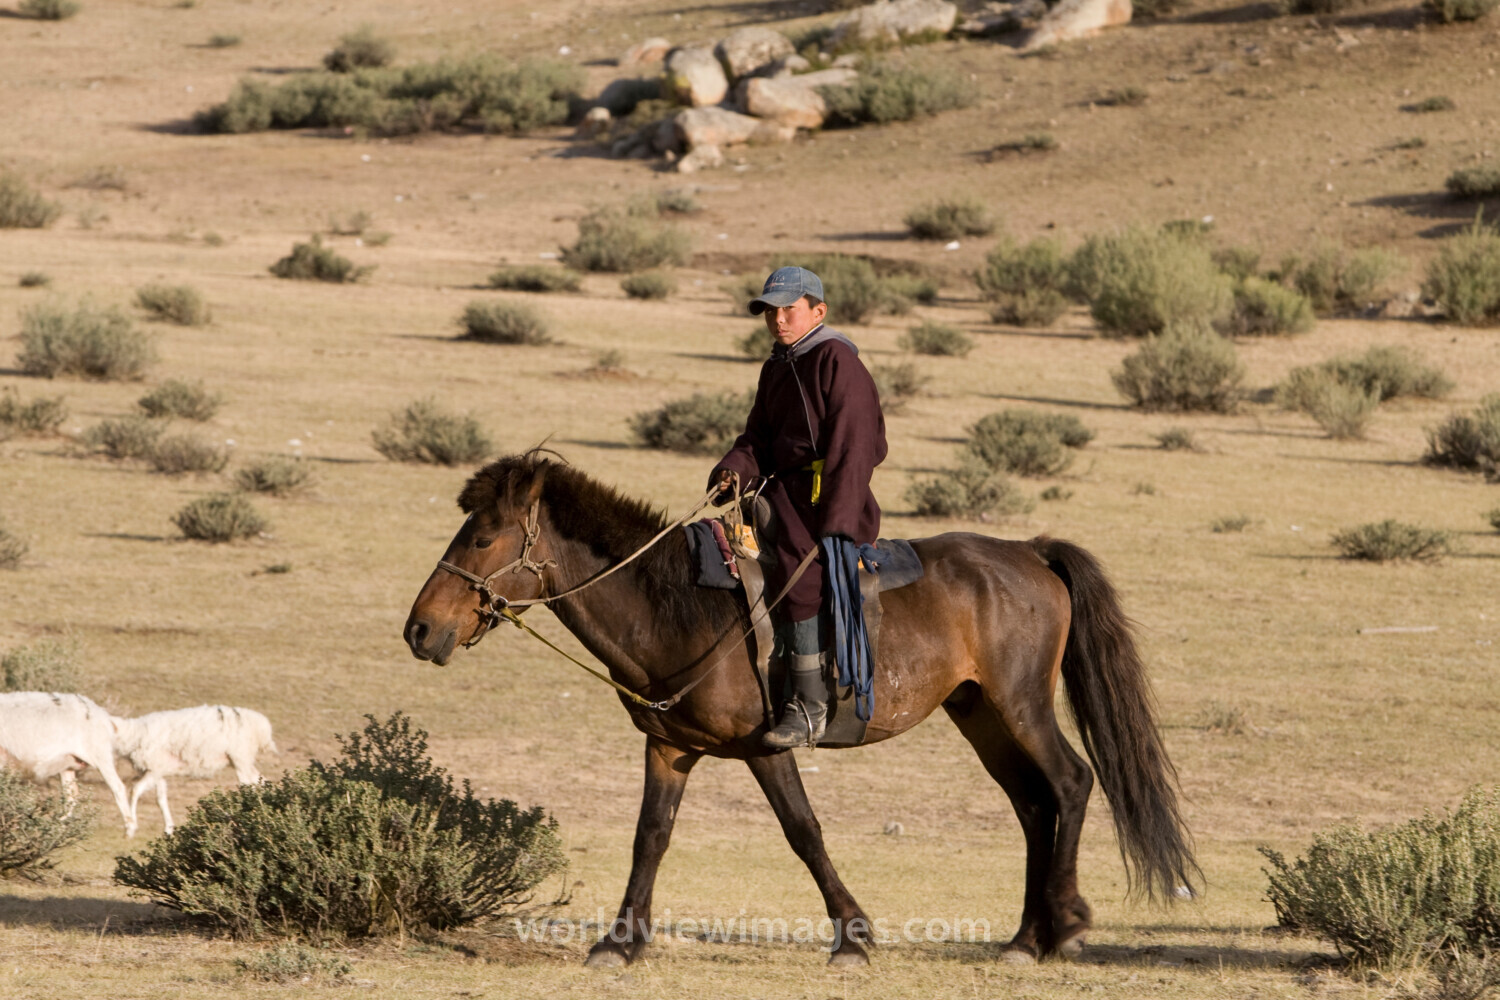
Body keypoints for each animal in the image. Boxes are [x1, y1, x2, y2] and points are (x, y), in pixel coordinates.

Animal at [0, 691, 137, 837]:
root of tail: (102, 714)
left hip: (100, 756)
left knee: (118, 787)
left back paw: (129, 829)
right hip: (69, 764)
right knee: (71, 795)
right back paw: (59, 827)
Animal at [112, 704, 276, 835]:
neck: (130, 733)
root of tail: (262, 726)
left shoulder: (154, 769)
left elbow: (135, 790)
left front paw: (131, 827)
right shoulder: (157, 770)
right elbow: (160, 799)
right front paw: (168, 828)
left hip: (240, 758)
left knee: (249, 785)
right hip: (242, 760)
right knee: (261, 782)